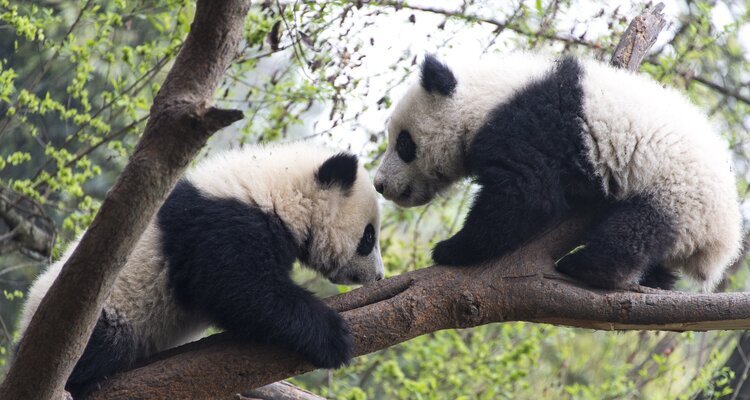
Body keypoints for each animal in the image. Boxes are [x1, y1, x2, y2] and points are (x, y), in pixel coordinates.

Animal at [18, 141, 384, 395]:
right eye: (368, 237)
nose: (378, 275)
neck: (273, 186)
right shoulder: (219, 223)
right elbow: (240, 289)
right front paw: (333, 336)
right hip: (97, 314)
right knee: (105, 343)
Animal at [374, 53, 742, 291]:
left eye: (404, 143)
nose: (380, 184)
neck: (485, 96)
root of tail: (723, 243)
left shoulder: (528, 125)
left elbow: (525, 195)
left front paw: (450, 249)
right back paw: (654, 279)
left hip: (678, 196)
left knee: (636, 230)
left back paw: (586, 267)